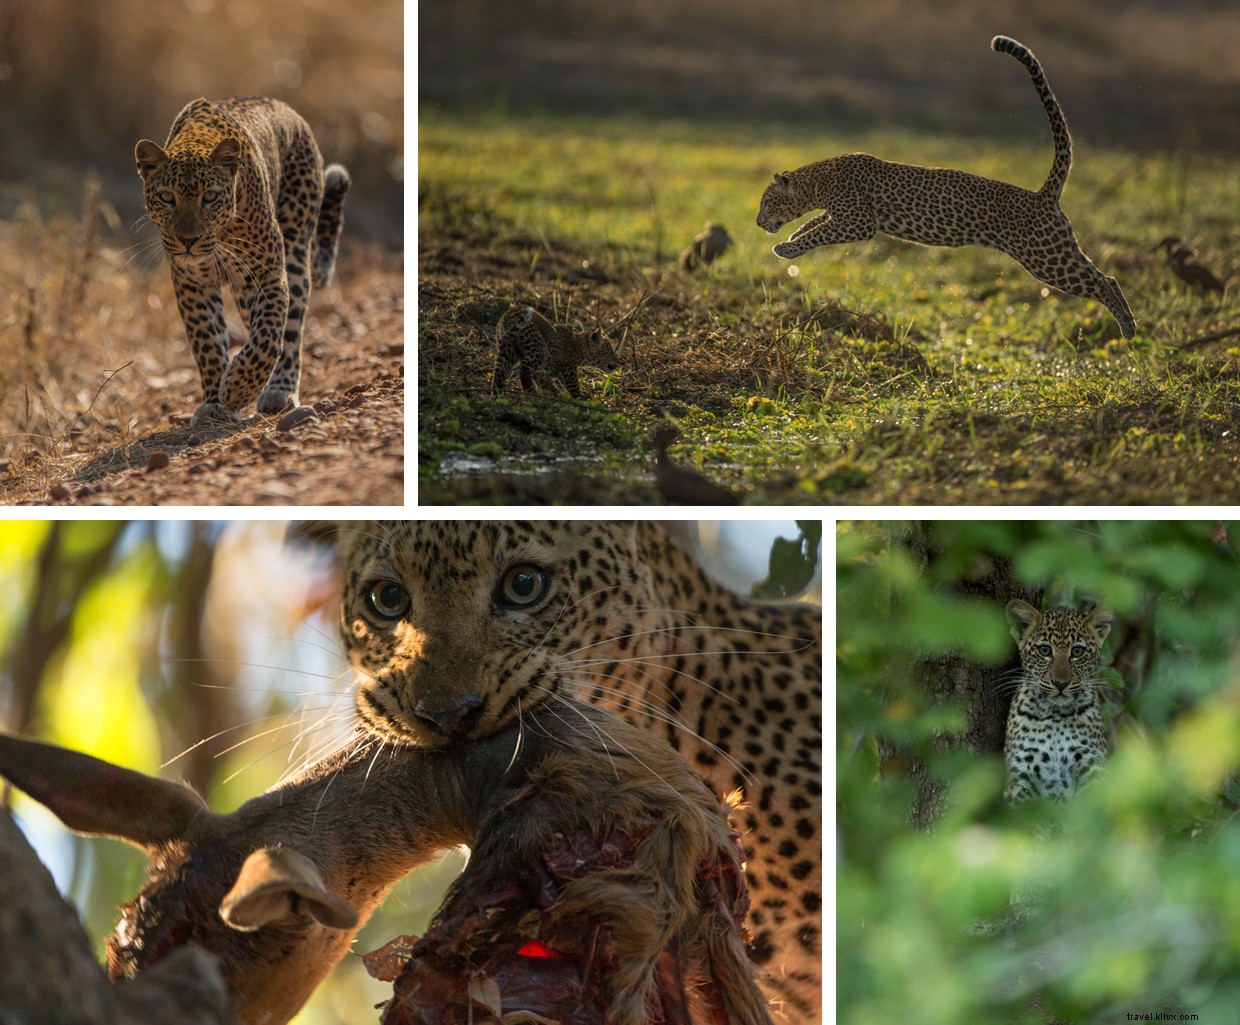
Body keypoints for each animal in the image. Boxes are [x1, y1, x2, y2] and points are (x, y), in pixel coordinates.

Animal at [136, 96, 350, 427]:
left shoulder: (267, 273)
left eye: (210, 197)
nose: (188, 240)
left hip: (295, 252)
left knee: (290, 330)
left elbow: (267, 337)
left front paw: (237, 389)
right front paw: (215, 403)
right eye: (167, 197)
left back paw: (280, 390)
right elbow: (208, 342)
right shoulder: (192, 282)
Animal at [492, 305, 621, 398]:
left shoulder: (545, 371)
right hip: (537, 348)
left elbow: (548, 382)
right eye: (610, 349)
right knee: (524, 368)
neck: (579, 348)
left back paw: (497, 393)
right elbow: (572, 385)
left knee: (500, 370)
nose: (620, 361)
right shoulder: (568, 368)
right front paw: (579, 396)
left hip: (507, 349)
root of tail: (509, 314)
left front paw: (556, 393)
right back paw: (531, 392)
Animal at [756, 35, 1136, 339]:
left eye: (767, 202)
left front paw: (787, 248)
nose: (759, 223)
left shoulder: (858, 222)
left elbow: (818, 231)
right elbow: (814, 223)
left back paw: (1127, 328)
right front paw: (793, 238)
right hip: (1060, 248)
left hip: (1045, 257)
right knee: (1108, 277)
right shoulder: (847, 216)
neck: (818, 180)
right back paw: (1129, 322)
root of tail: (1043, 196)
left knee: (1099, 282)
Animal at [1002, 598, 1113, 804]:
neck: (1056, 714)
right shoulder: (1020, 776)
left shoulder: (1091, 767)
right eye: (1044, 650)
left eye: (1077, 651)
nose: (1061, 683)